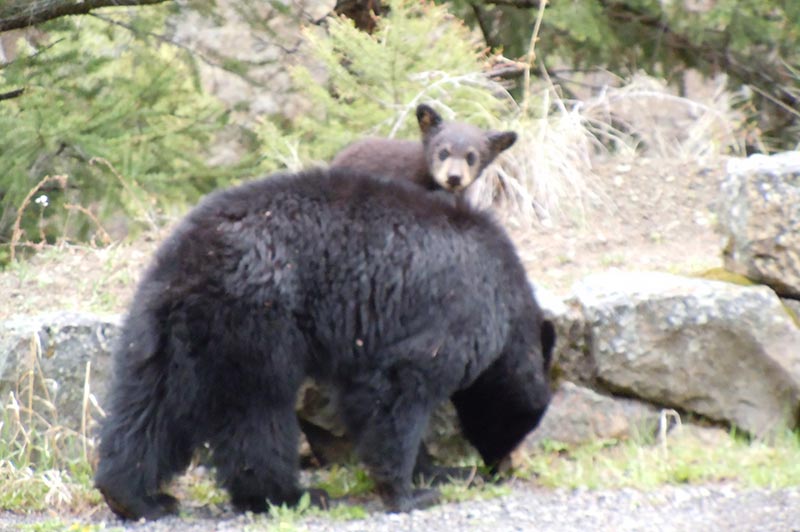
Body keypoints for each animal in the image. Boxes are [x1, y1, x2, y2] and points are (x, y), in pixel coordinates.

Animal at [94, 169, 552, 520]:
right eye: (515, 426)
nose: (500, 468)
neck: (510, 302)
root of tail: (189, 260)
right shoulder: (458, 311)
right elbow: (402, 389)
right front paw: (411, 491)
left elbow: (364, 398)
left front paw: (439, 472)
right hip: (257, 318)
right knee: (256, 413)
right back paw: (291, 494)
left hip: (163, 332)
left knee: (148, 406)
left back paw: (137, 497)